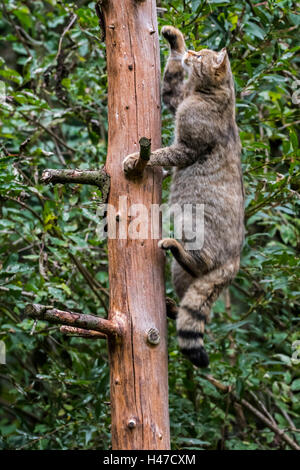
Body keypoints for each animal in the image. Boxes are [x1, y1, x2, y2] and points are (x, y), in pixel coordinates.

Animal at [123, 26, 245, 368]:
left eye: (201, 55)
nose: (191, 53)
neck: (205, 92)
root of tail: (235, 260)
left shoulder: (187, 145)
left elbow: (160, 154)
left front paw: (136, 159)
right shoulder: (175, 98)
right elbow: (170, 80)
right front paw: (174, 39)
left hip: (192, 223)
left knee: (199, 262)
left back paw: (175, 247)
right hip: (181, 276)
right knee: (196, 299)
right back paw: (172, 308)